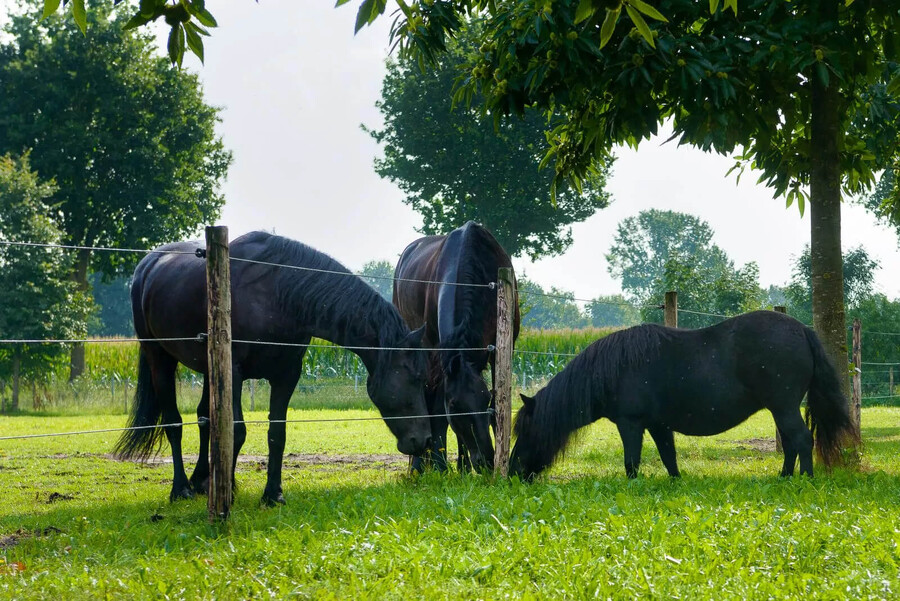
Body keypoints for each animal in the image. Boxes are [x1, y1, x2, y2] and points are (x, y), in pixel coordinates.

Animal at [114, 232, 430, 504]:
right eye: (415, 378)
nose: (424, 440)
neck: (279, 295)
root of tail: (147, 265)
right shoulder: (236, 372)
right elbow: (236, 432)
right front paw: (229, 491)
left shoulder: (287, 374)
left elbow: (277, 433)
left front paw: (272, 494)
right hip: (159, 358)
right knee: (174, 423)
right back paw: (181, 489)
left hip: (208, 368)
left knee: (206, 418)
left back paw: (202, 481)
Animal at [392, 221, 520, 474]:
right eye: (454, 405)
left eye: (484, 400)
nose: (485, 460)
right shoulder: (435, 354)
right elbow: (437, 411)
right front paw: (441, 466)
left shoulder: (499, 351)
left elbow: (499, 402)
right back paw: (420, 465)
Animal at [512, 312, 856, 480]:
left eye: (526, 430)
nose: (512, 472)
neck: (611, 369)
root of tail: (802, 330)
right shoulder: (658, 425)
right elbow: (669, 458)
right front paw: (676, 483)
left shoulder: (630, 423)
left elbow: (631, 462)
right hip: (780, 409)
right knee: (791, 443)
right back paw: (784, 477)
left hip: (783, 407)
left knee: (801, 440)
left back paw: (804, 479)